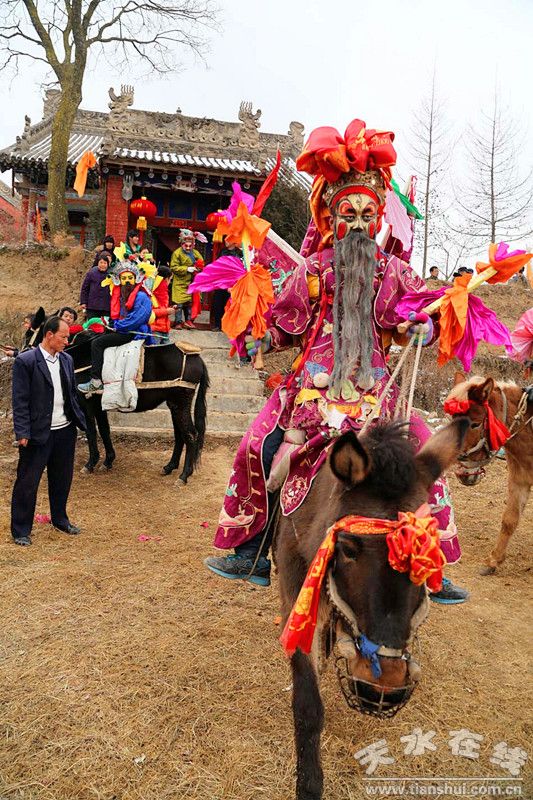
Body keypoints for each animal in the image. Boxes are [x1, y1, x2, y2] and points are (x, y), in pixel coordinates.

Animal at [272, 418, 468, 800]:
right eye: (348, 548)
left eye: (429, 556)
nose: (383, 686)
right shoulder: (295, 598)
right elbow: (307, 702)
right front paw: (309, 783)